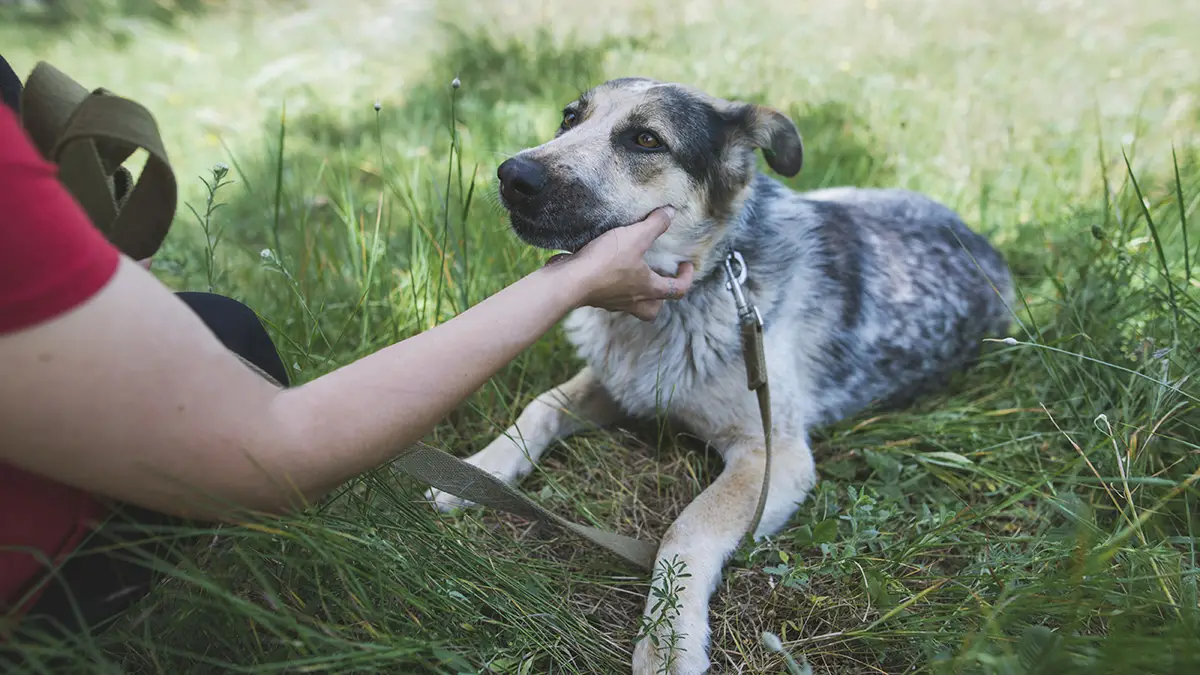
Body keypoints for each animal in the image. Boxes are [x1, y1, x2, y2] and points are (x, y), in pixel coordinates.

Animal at [427, 78, 1017, 672]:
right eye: (570, 118)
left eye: (646, 139)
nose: (513, 175)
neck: (700, 287)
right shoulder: (620, 384)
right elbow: (540, 406)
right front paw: (478, 471)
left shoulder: (772, 456)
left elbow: (686, 527)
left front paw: (667, 639)